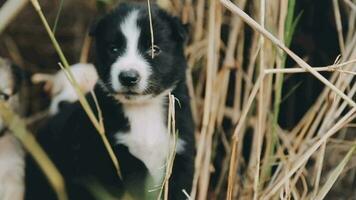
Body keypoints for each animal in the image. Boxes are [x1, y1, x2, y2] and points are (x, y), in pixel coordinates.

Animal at [25, 3, 195, 200]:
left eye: (154, 49)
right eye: (113, 49)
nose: (128, 77)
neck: (143, 110)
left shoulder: (179, 149)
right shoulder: (100, 148)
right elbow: (134, 167)